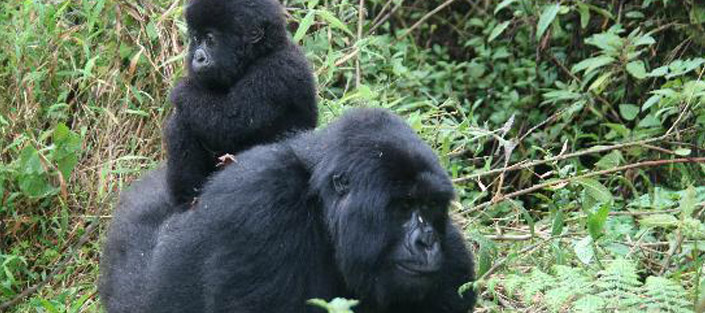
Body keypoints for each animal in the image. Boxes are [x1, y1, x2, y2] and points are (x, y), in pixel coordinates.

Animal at [97, 108, 472, 312]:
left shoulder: (453, 257)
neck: (320, 208)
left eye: (431, 206)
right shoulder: (264, 204)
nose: (427, 241)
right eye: (404, 206)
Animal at [166, 0, 314, 204]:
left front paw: (182, 90)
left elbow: (229, 123)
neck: (262, 53)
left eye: (210, 39)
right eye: (196, 39)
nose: (197, 57)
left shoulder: (275, 72)